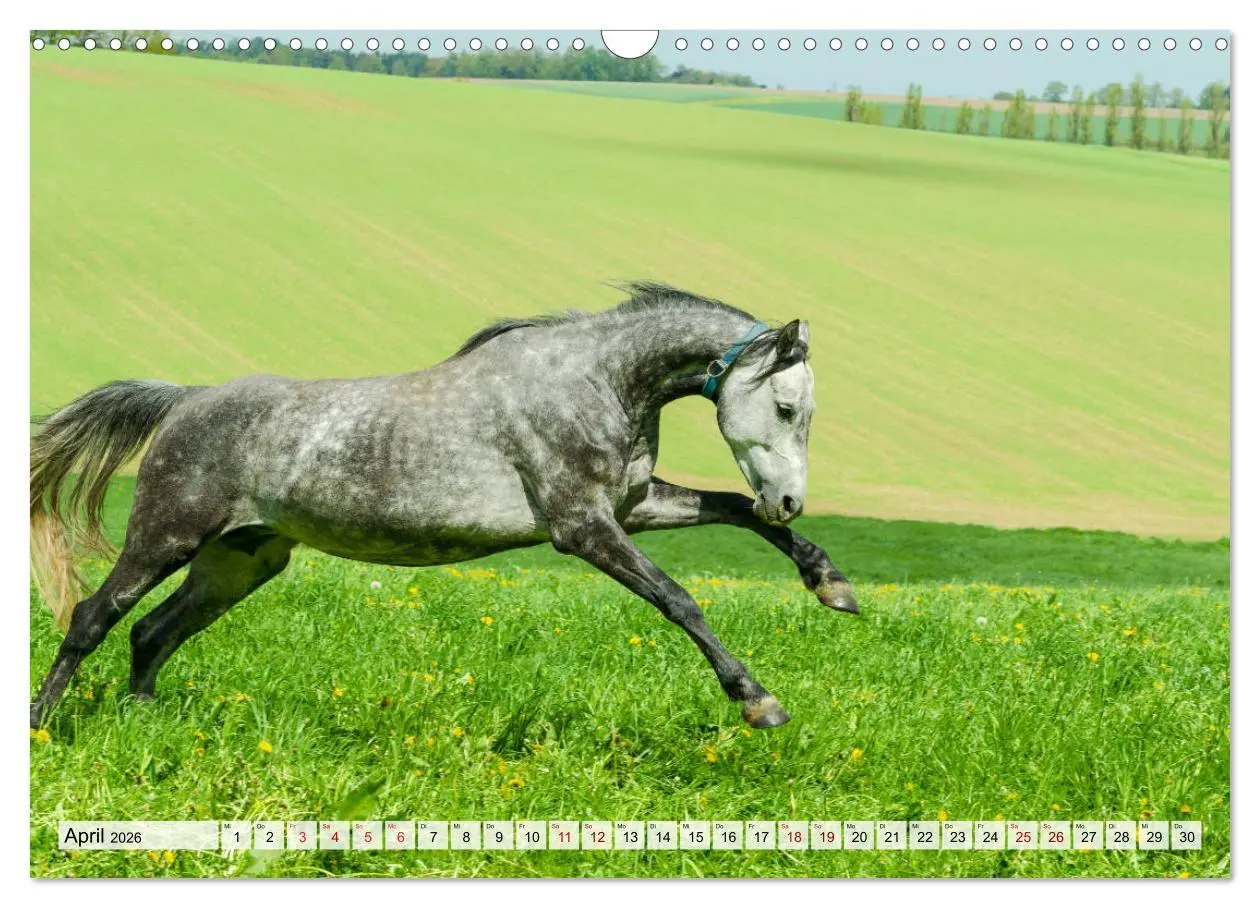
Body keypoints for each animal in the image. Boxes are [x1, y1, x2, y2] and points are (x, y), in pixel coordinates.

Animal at [30, 282, 858, 731]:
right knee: (94, 617)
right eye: (787, 407)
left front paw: (832, 585)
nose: (790, 499)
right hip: (163, 538)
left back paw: (141, 719)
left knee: (151, 632)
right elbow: (680, 600)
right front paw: (759, 702)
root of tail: (187, 400)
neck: (598, 381)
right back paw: (42, 727)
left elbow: (733, 509)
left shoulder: (632, 507)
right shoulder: (583, 527)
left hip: (240, 561)